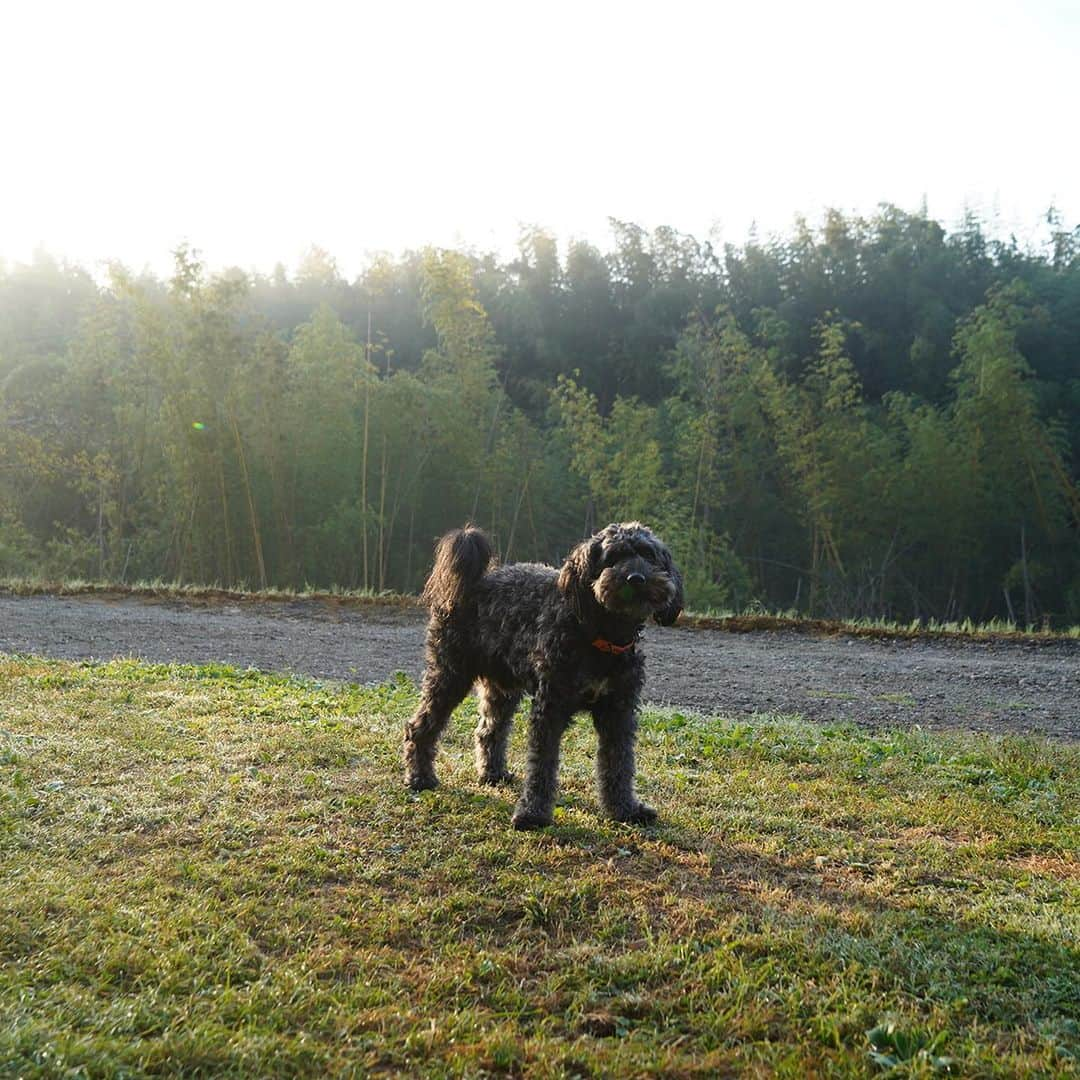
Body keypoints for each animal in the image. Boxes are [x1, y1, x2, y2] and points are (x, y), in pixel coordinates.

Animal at [406, 522, 682, 825]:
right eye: (613, 557)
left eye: (648, 555)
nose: (636, 578)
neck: (600, 636)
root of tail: (475, 582)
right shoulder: (550, 708)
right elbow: (542, 764)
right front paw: (533, 814)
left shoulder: (618, 711)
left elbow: (619, 763)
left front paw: (625, 809)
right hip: (450, 674)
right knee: (420, 726)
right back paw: (420, 778)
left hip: (502, 687)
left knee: (489, 730)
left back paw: (493, 774)